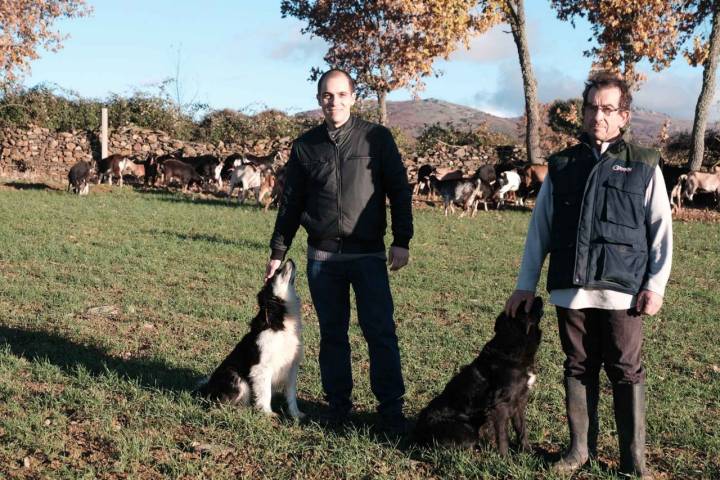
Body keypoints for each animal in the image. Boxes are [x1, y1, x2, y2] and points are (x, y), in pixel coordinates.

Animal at [414, 296, 544, 454]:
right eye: (524, 304)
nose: (539, 297)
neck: (512, 348)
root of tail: (417, 434)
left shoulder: (519, 402)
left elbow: (522, 430)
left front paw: (527, 452)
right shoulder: (500, 406)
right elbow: (503, 437)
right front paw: (505, 458)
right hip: (467, 431)